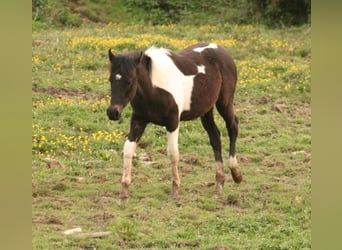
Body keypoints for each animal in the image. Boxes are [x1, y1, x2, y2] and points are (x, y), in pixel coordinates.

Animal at [107, 42, 243, 200]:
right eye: (110, 80)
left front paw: (175, 189)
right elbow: (128, 149)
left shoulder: (173, 122)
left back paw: (236, 174)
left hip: (224, 103)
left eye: (129, 81)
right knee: (215, 137)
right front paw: (124, 190)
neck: (154, 89)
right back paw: (219, 183)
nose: (113, 112)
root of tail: (221, 49)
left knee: (232, 126)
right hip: (206, 110)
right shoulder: (138, 120)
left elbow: (173, 153)